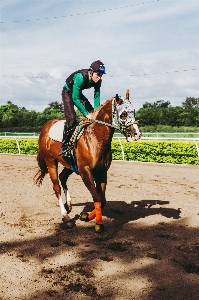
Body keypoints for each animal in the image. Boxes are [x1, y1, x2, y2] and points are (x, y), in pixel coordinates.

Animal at [33, 90, 141, 233]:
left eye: (133, 111)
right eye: (123, 114)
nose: (137, 134)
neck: (95, 138)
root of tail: (46, 127)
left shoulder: (102, 171)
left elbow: (102, 199)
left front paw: (87, 216)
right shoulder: (85, 171)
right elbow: (96, 197)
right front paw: (98, 224)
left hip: (70, 164)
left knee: (63, 177)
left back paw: (69, 205)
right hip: (50, 161)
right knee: (56, 187)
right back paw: (65, 217)